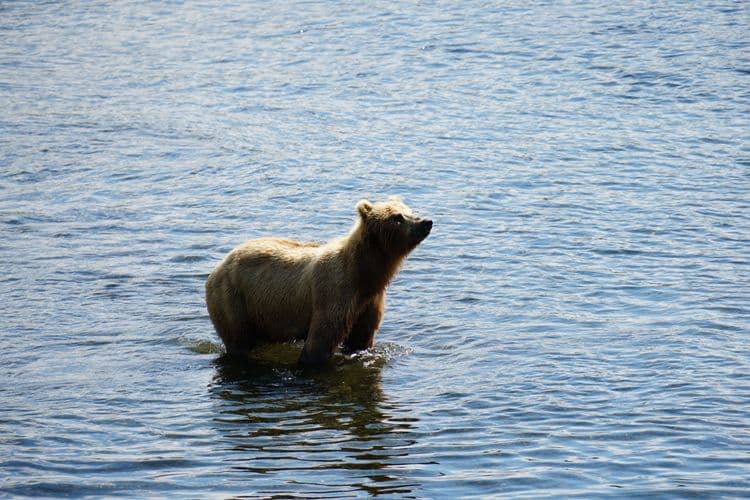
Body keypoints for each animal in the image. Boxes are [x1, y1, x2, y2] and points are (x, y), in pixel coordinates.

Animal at [205, 196, 432, 365]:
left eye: (409, 209)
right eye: (397, 217)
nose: (426, 222)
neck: (364, 273)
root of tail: (219, 266)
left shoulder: (369, 301)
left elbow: (362, 337)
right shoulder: (334, 292)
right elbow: (321, 339)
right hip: (233, 298)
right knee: (238, 338)